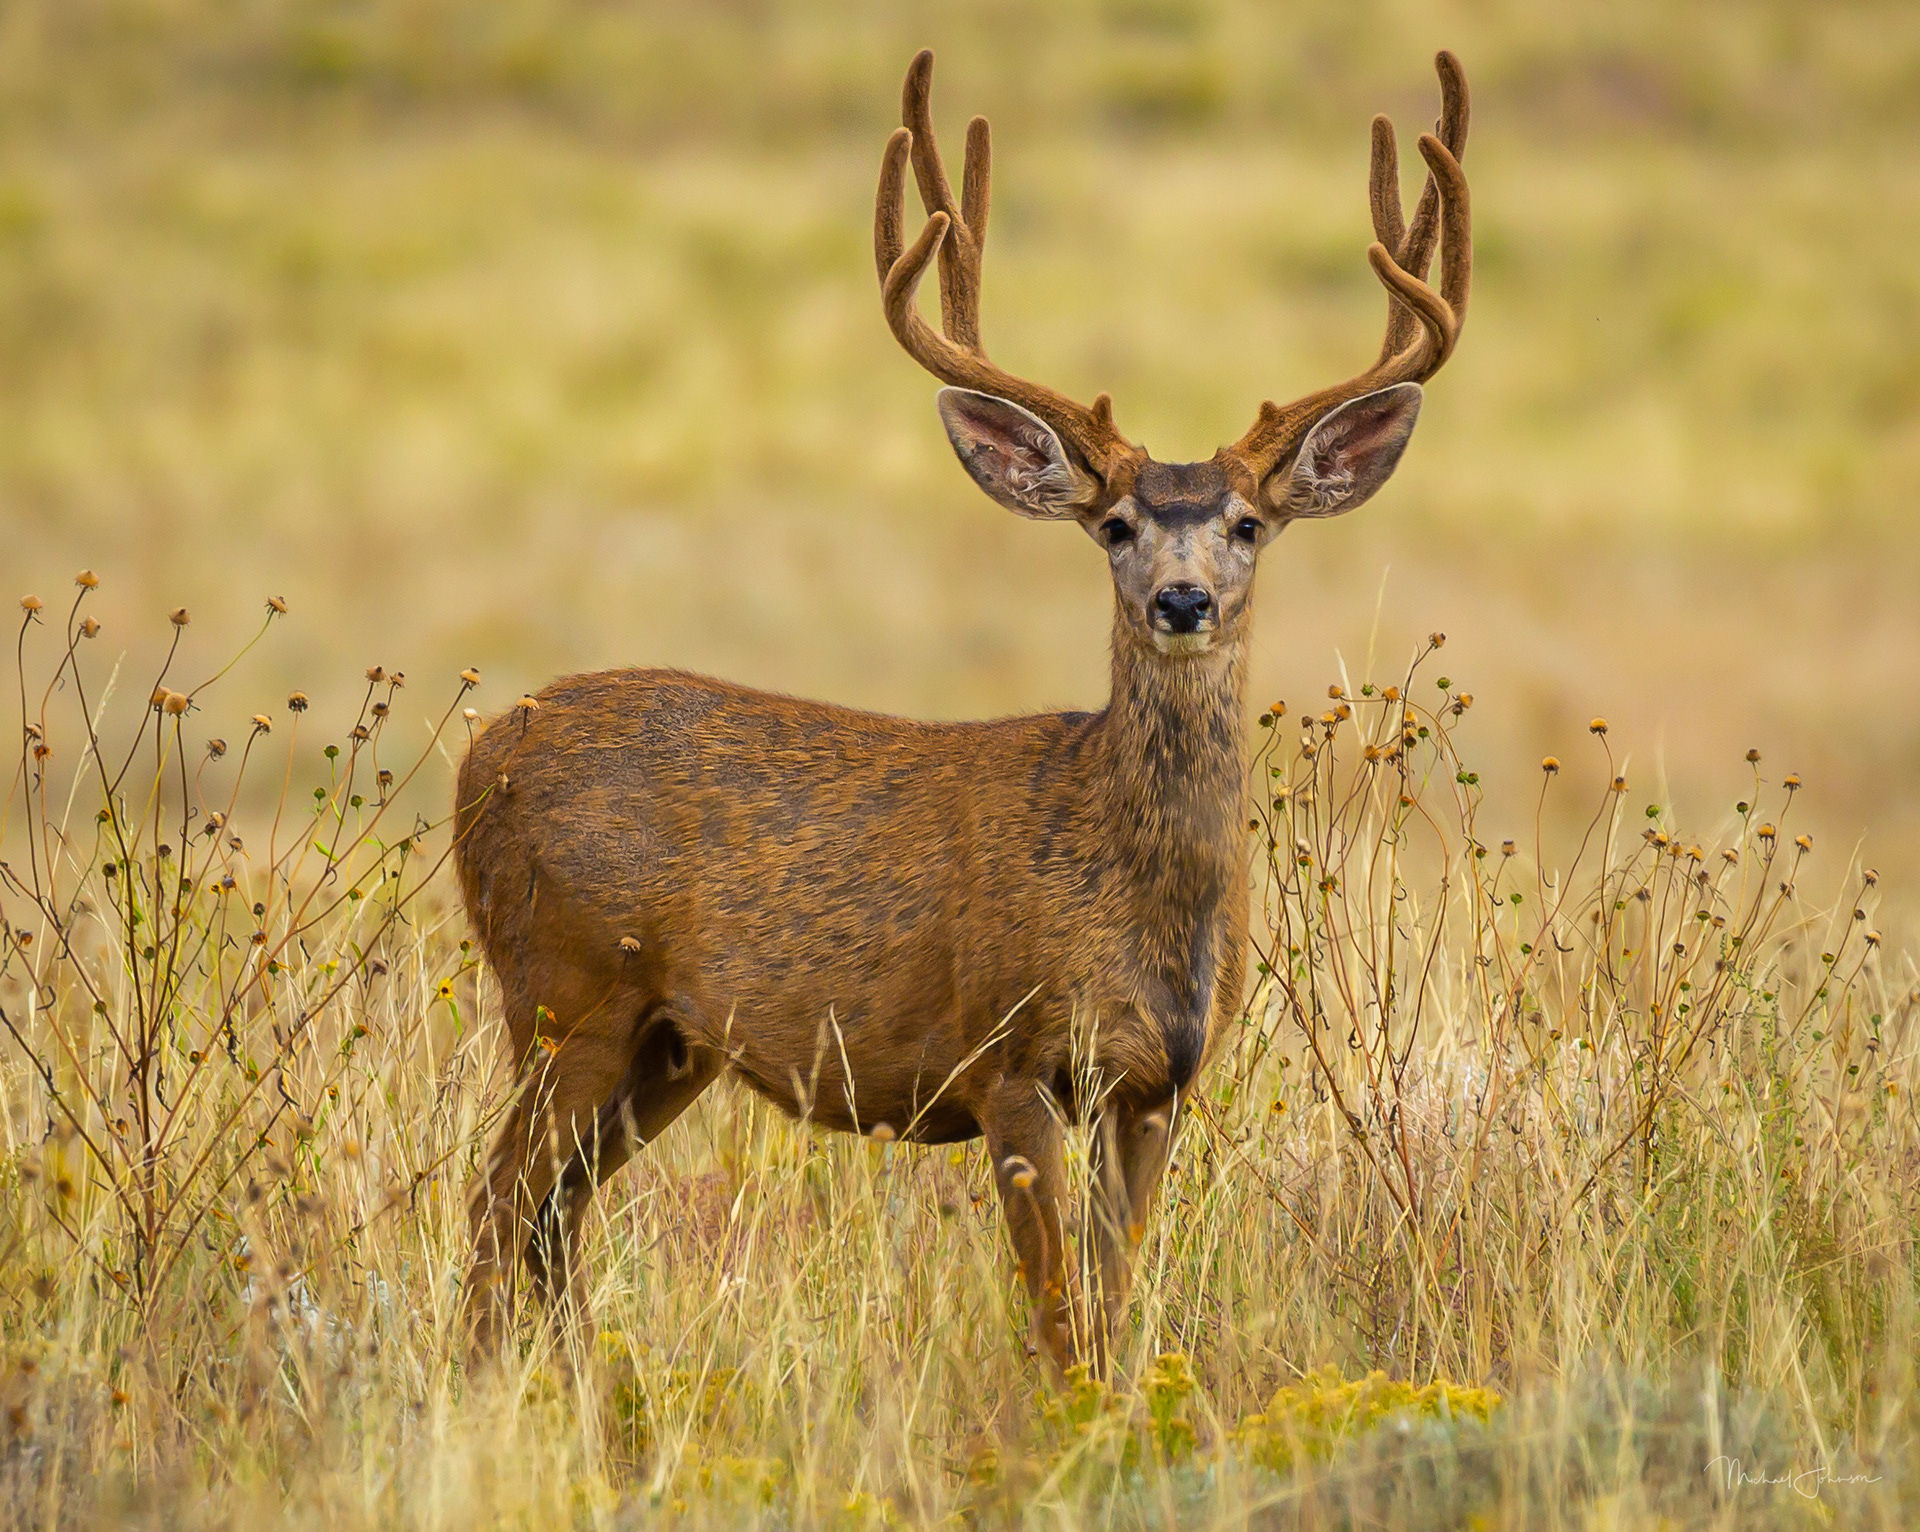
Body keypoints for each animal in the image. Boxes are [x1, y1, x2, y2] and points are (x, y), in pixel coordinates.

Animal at [455, 47, 1469, 1374]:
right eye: (1116, 525)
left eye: (1248, 522)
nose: (1182, 597)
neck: (1132, 897)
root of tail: (473, 759)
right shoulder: (1010, 1054)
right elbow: (1058, 1315)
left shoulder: (1157, 1083)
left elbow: (1113, 1301)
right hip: (566, 985)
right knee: (494, 1206)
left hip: (666, 1039)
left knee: (552, 1211)